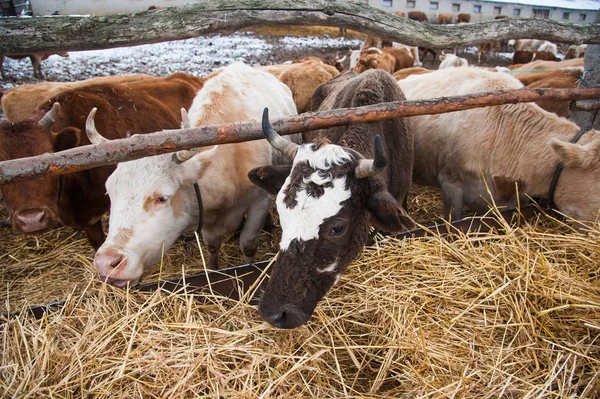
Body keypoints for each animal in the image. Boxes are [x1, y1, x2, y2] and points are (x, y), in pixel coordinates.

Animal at [89, 63, 298, 288]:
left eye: (162, 198)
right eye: (110, 193)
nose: (107, 263)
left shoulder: (259, 202)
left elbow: (248, 245)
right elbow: (212, 246)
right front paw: (213, 269)